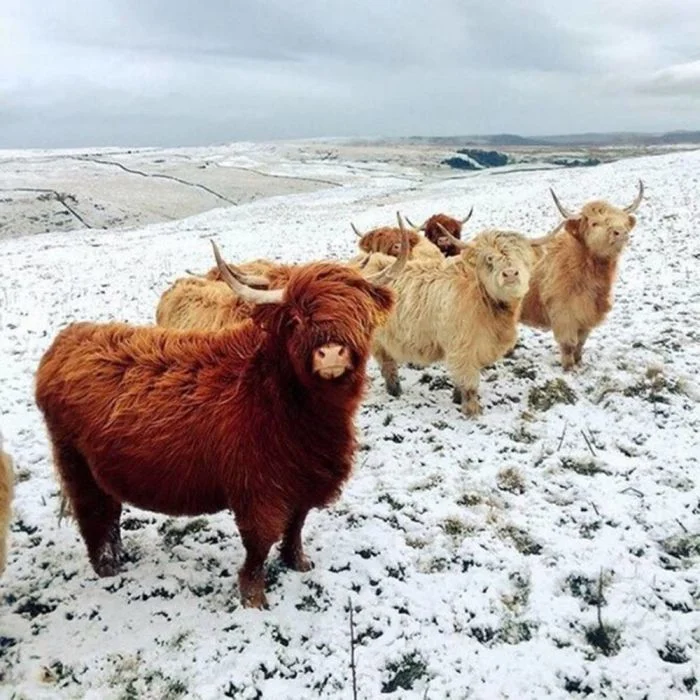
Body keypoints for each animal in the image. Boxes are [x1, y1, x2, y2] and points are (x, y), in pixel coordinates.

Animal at [35, 238, 407, 609]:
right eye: (296, 318)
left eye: (359, 314)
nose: (331, 353)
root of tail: (65, 341)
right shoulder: (257, 489)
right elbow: (260, 543)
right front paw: (254, 597)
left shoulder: (305, 478)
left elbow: (296, 523)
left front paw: (297, 562)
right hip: (75, 463)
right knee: (92, 514)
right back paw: (107, 567)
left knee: (110, 512)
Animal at [362, 215, 563, 416]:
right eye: (489, 258)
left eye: (522, 257)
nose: (510, 274)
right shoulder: (462, 347)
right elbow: (469, 381)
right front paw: (472, 411)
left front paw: (457, 398)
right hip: (378, 341)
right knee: (387, 364)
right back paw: (394, 390)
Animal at [519, 180, 644, 370]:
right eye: (594, 223)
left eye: (623, 220)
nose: (620, 232)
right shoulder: (564, 316)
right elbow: (568, 345)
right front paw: (569, 368)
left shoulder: (586, 317)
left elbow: (580, 343)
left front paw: (579, 362)